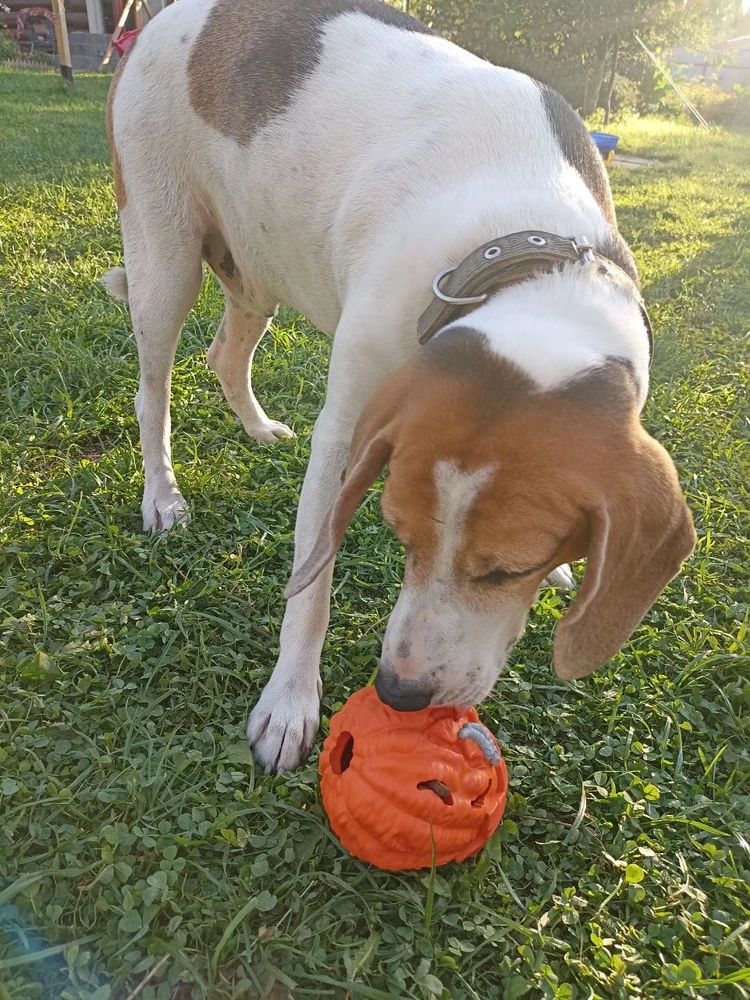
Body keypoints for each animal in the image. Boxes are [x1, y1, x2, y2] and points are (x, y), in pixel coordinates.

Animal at [104, 0, 700, 772]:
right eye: (397, 535)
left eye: (510, 571)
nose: (400, 692)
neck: (520, 249)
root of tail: (161, 17)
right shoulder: (344, 434)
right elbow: (313, 581)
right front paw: (288, 703)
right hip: (163, 258)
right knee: (154, 391)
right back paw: (164, 496)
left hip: (253, 270)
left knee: (225, 356)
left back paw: (257, 427)